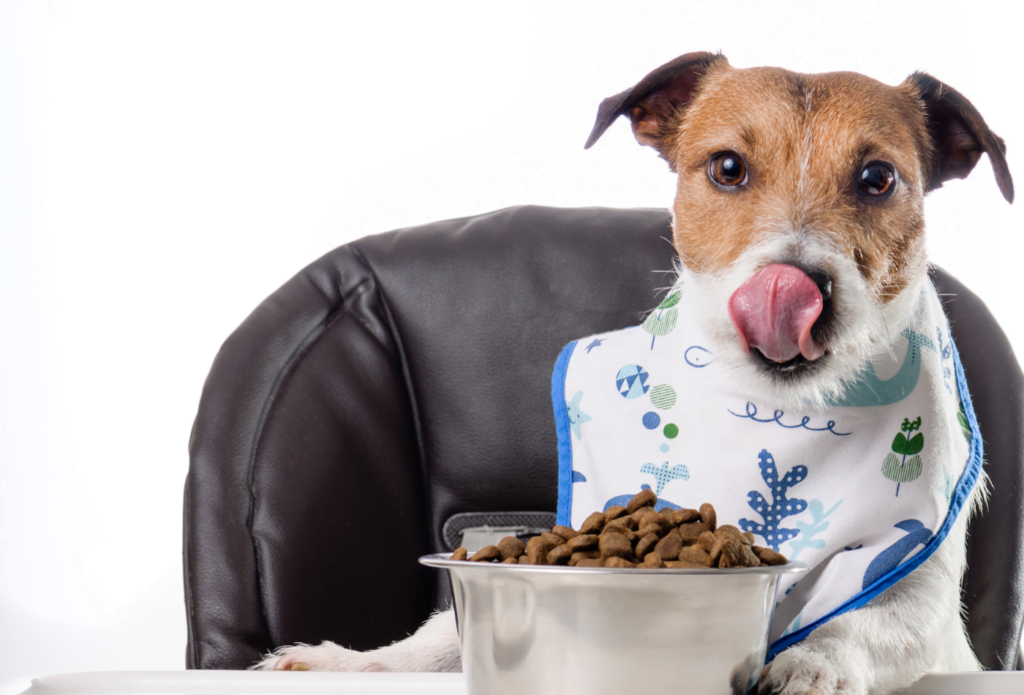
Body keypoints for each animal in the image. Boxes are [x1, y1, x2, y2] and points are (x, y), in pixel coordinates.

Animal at [251, 51, 1011, 691]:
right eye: (727, 167)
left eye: (878, 179)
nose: (792, 287)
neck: (776, 407)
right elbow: (443, 630)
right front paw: (355, 661)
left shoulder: (921, 597)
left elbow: (864, 622)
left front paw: (810, 663)